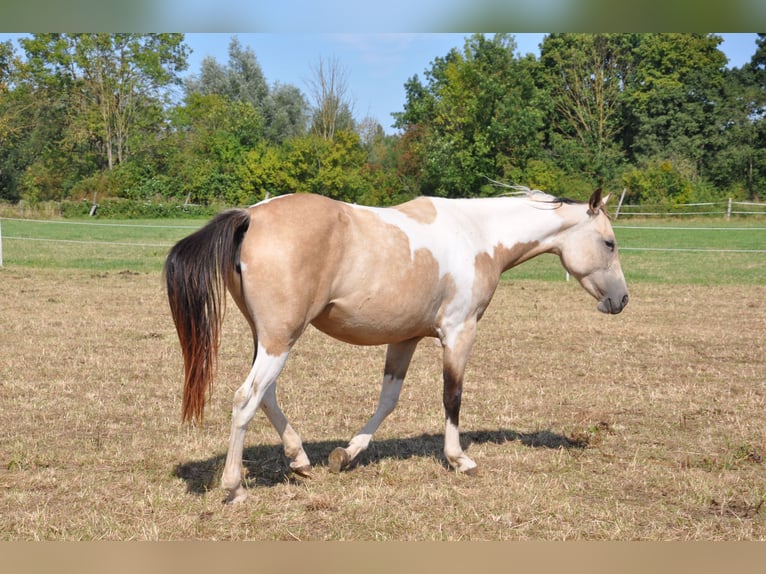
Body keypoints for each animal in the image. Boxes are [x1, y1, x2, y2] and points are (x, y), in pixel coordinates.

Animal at [164, 188, 628, 503]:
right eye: (609, 243)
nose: (622, 300)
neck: (476, 234)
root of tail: (250, 217)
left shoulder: (404, 339)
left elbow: (388, 400)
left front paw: (347, 454)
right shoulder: (459, 333)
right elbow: (452, 397)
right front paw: (459, 459)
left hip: (270, 339)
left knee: (267, 396)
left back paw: (300, 459)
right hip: (280, 339)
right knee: (246, 399)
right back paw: (235, 487)